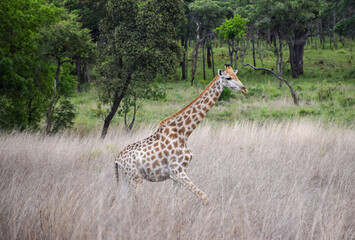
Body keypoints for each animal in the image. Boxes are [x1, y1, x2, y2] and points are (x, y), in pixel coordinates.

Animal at [116, 64, 248, 204]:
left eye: (236, 76)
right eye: (228, 78)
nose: (244, 88)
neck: (184, 132)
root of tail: (117, 160)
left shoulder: (178, 174)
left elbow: (175, 201)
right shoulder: (176, 171)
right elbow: (204, 197)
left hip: (126, 178)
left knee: (122, 200)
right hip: (136, 178)